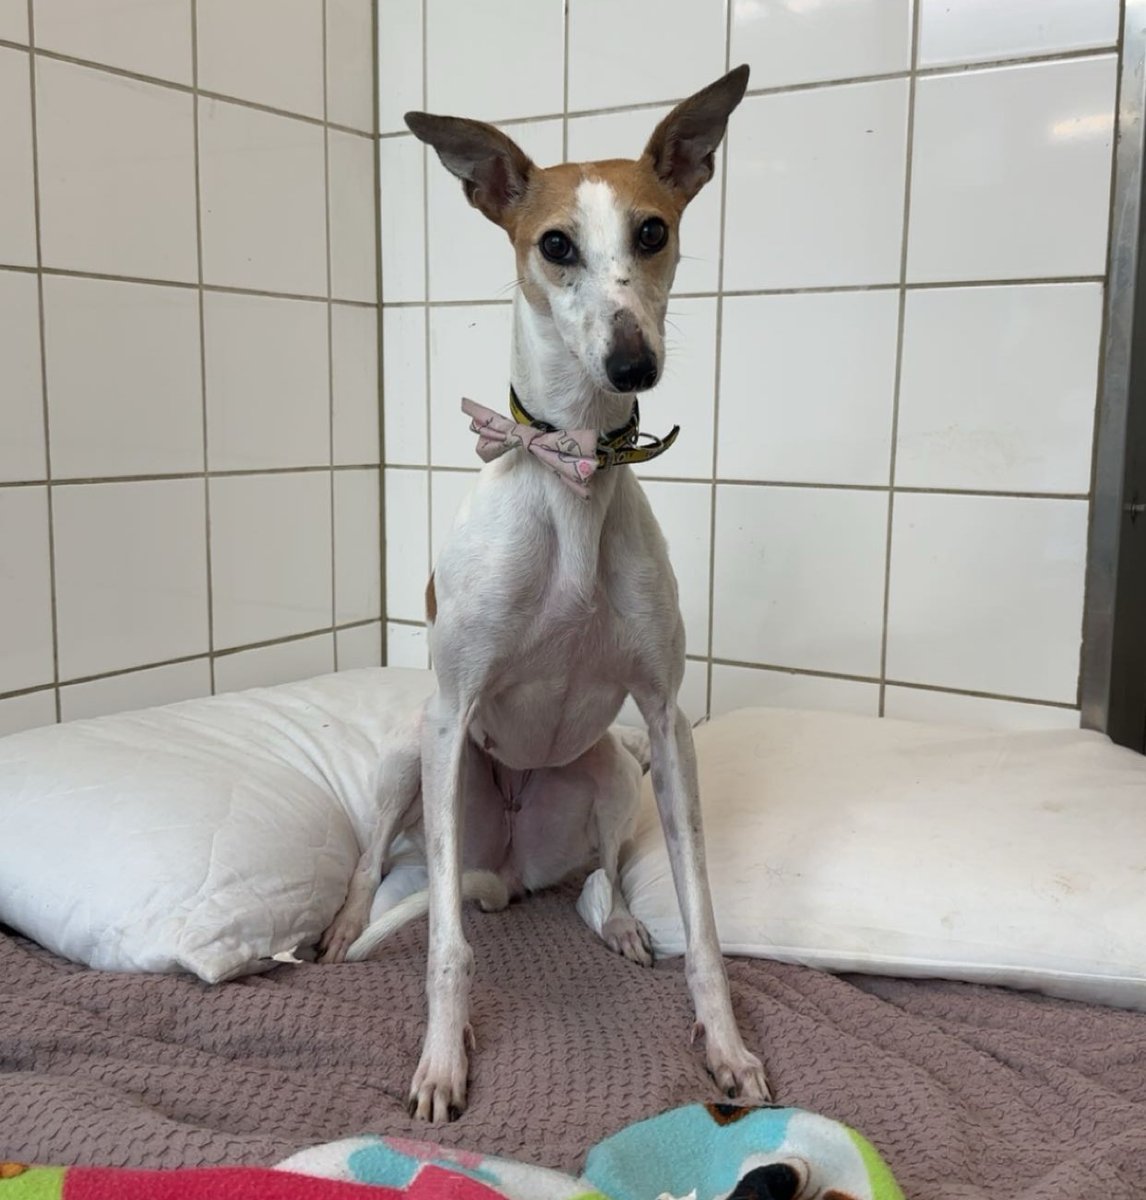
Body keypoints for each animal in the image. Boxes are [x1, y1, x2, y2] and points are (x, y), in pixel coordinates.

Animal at [326, 68, 768, 1123]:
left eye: (652, 231)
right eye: (555, 244)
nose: (632, 363)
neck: (571, 473)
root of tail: (513, 870)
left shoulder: (665, 719)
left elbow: (703, 922)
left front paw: (726, 1047)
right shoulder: (453, 712)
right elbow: (445, 944)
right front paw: (441, 1063)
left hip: (612, 769)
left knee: (597, 881)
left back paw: (619, 924)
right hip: (414, 759)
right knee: (385, 868)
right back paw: (344, 930)